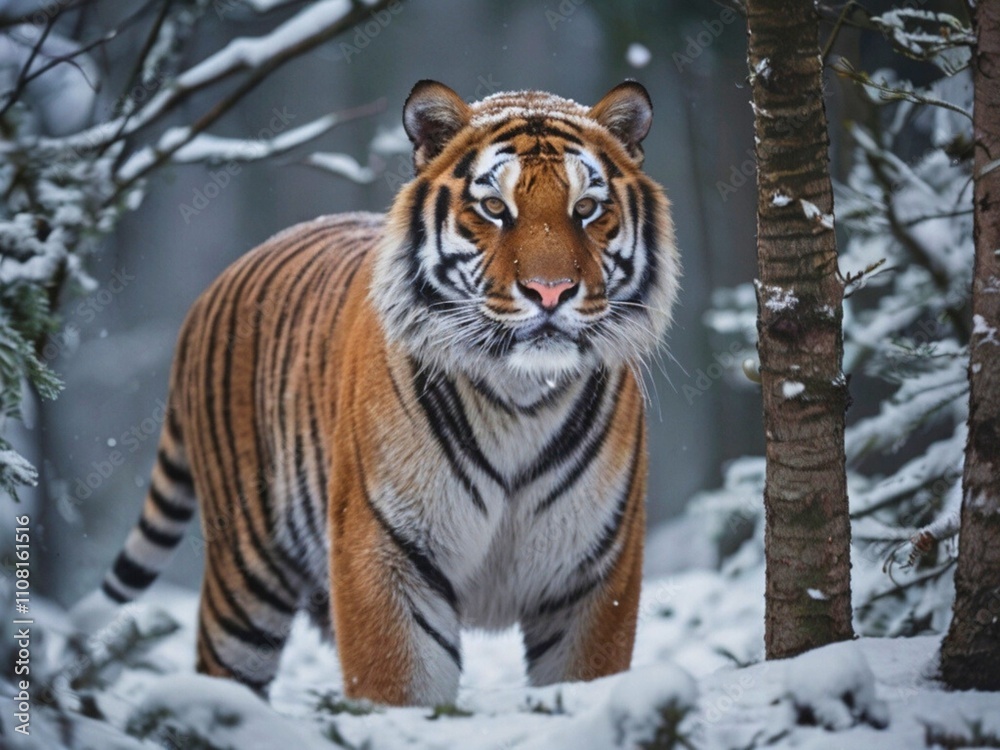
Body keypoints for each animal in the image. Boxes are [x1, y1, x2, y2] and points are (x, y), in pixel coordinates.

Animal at [86, 80, 679, 706]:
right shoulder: (385, 553)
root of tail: (213, 288)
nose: (551, 291)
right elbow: (398, 686)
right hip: (245, 574)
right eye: (495, 209)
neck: (522, 396)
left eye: (586, 209)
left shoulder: (595, 573)